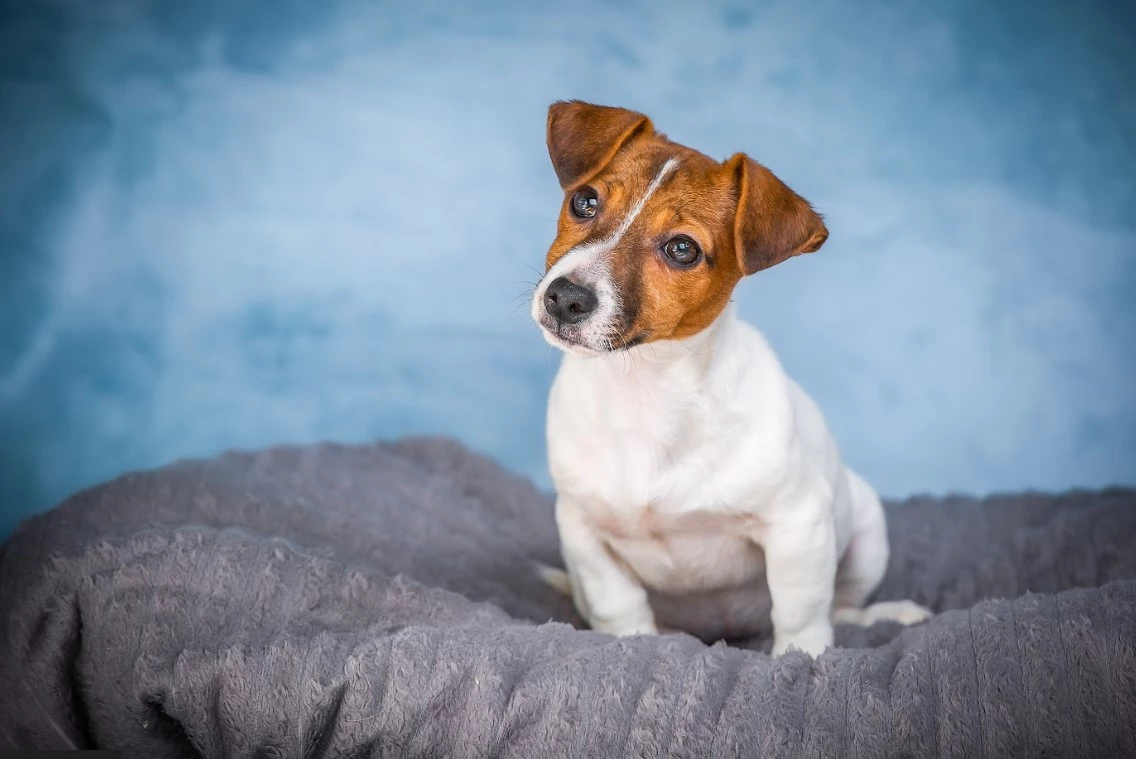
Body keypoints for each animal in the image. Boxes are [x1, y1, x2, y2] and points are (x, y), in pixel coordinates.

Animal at [527, 99, 926, 659]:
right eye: (584, 201)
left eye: (682, 249)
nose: (564, 298)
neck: (646, 390)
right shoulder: (582, 530)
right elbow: (619, 603)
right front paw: (634, 643)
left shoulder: (797, 525)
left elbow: (802, 611)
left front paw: (801, 658)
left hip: (866, 528)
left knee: (842, 607)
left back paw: (889, 614)